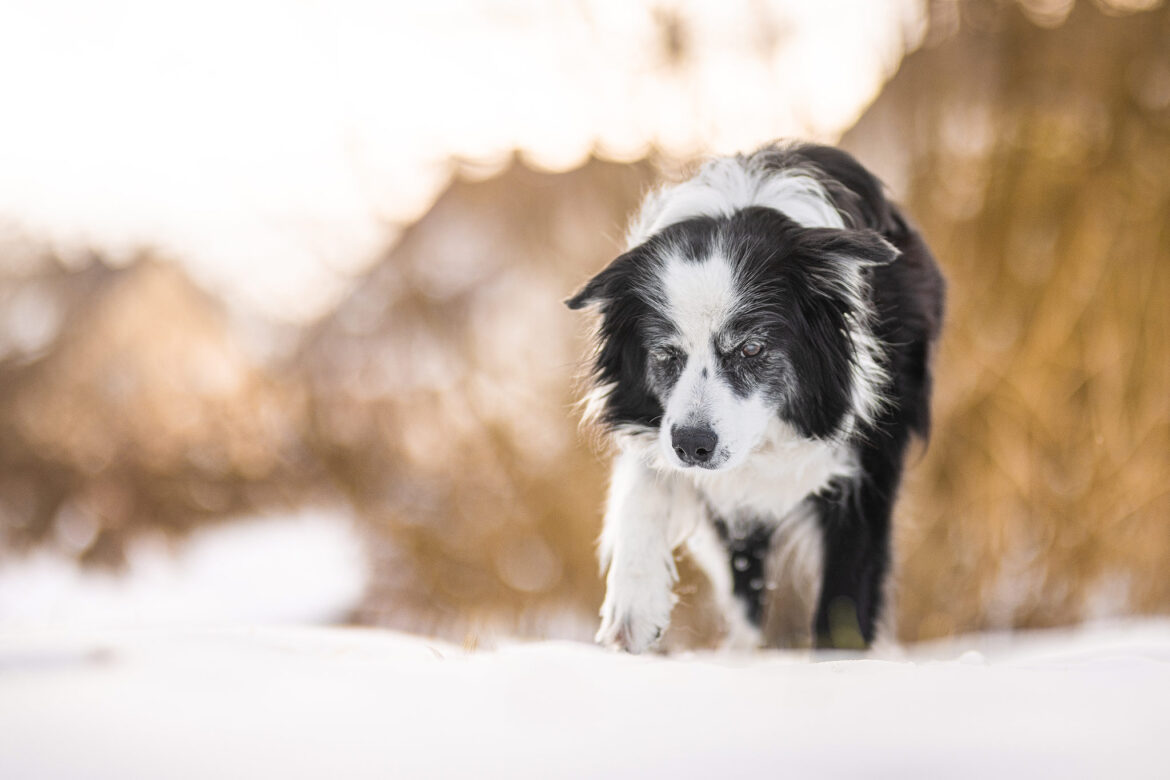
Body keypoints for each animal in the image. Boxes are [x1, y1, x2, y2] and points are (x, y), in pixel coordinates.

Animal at [563, 140, 940, 654]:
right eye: (664, 354)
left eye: (752, 349)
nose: (692, 446)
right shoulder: (657, 428)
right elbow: (645, 481)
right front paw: (634, 605)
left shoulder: (869, 465)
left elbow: (844, 592)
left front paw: (841, 662)